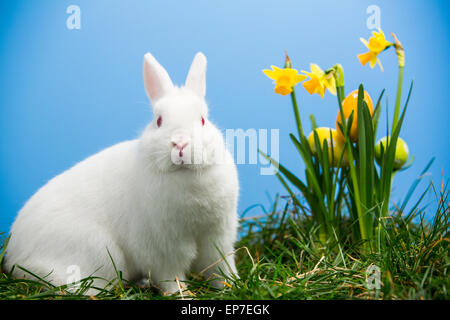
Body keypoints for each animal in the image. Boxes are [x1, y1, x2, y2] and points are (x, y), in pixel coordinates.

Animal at [3, 52, 241, 296]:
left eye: (203, 119)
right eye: (159, 121)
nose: (180, 143)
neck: (185, 176)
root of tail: (14, 256)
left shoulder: (218, 236)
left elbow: (220, 267)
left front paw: (232, 285)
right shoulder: (162, 248)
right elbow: (170, 276)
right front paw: (180, 294)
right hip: (98, 252)